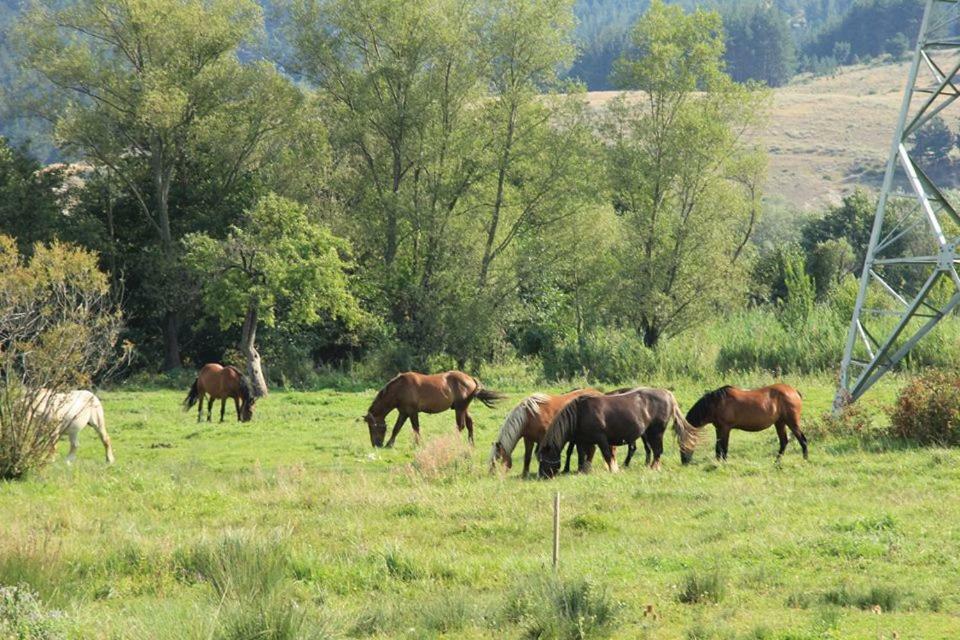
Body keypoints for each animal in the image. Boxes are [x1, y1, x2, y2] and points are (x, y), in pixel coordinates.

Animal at [364, 372, 506, 448]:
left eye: (372, 427)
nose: (376, 444)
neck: (400, 388)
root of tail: (470, 379)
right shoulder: (403, 412)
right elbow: (396, 428)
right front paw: (390, 444)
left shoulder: (412, 412)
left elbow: (415, 428)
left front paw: (417, 444)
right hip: (464, 409)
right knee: (470, 424)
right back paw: (471, 443)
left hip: (460, 409)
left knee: (460, 426)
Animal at [532, 384, 696, 480]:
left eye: (543, 459)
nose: (542, 476)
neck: (580, 414)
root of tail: (667, 393)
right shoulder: (582, 441)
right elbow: (583, 456)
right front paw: (582, 471)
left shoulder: (601, 439)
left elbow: (607, 455)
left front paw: (613, 470)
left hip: (656, 432)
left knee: (657, 451)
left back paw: (653, 468)